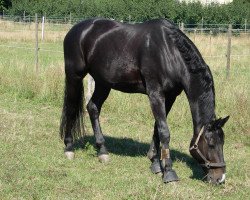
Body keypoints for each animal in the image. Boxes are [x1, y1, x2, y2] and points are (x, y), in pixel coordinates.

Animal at [59, 18, 229, 184]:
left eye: (223, 142)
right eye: (211, 144)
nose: (220, 178)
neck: (169, 52)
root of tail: (76, 30)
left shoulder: (170, 96)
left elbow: (157, 128)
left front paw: (155, 163)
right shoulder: (155, 93)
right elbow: (164, 131)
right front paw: (169, 172)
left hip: (103, 83)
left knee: (93, 107)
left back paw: (103, 151)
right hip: (74, 76)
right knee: (71, 108)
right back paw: (69, 148)